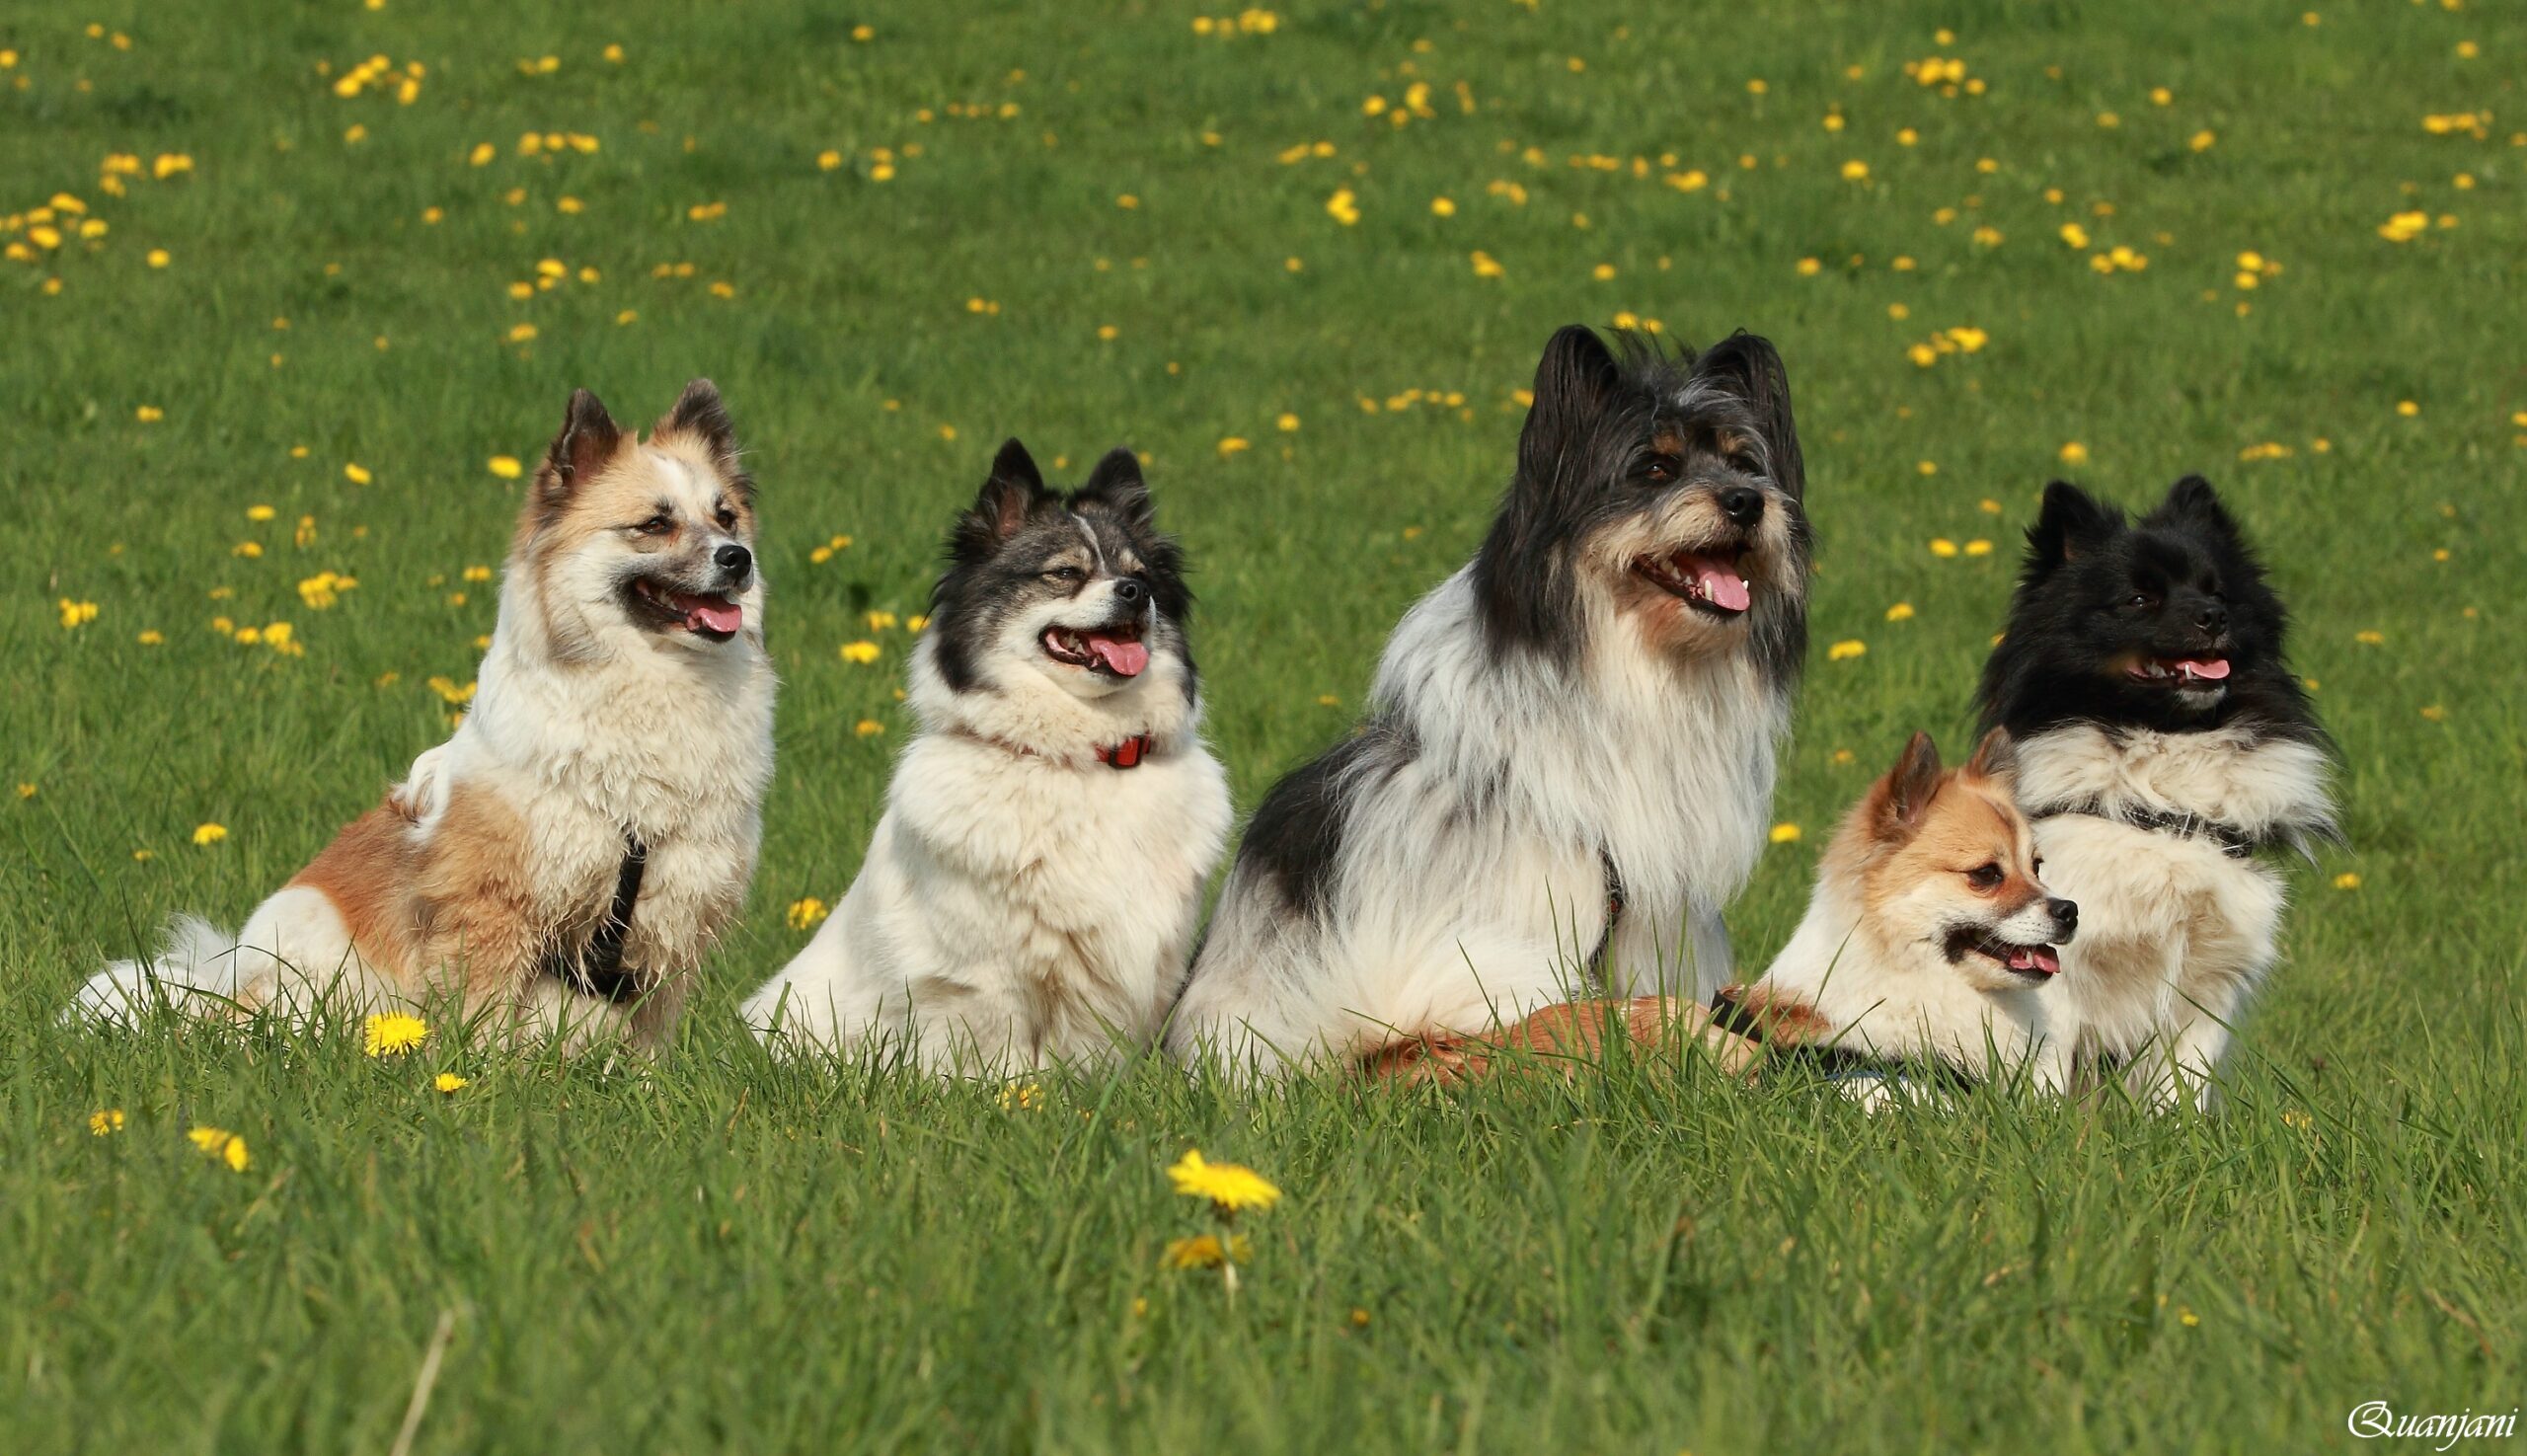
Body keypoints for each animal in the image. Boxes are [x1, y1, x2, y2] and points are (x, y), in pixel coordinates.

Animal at [73, 381, 773, 1051]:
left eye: (725, 516)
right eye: (654, 524)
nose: (737, 558)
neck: (654, 686)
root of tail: (218, 983)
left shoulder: (673, 916)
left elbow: (647, 1036)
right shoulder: (495, 905)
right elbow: (484, 1016)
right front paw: (480, 1073)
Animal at [737, 437, 1233, 1076]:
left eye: (1140, 575)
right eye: (1064, 573)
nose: (1135, 594)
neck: (1081, 758)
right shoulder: (983, 980)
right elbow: (1001, 1064)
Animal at [1981, 477, 2335, 1102]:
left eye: (2218, 592)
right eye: (2139, 600)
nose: (2214, 616)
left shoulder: (2206, 978)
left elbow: (2180, 1091)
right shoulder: (2056, 964)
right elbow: (2048, 1074)